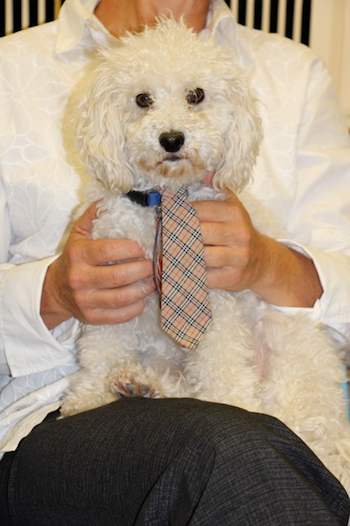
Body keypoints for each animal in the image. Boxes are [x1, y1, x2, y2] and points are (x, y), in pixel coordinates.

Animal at [61, 18, 350, 492]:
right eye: (142, 99)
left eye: (196, 95)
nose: (172, 138)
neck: (166, 200)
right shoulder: (110, 282)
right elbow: (101, 347)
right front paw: (89, 395)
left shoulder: (217, 297)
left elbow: (220, 359)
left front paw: (227, 403)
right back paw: (141, 384)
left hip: (289, 354)